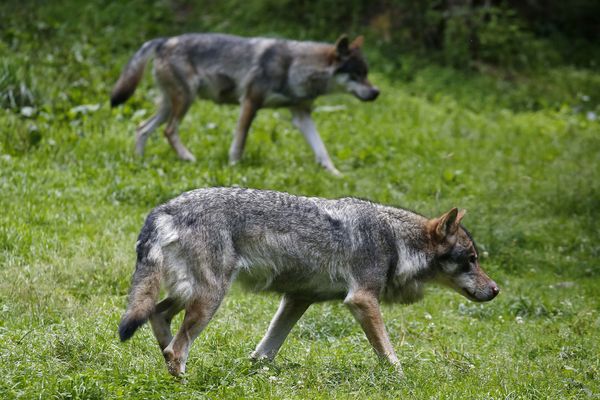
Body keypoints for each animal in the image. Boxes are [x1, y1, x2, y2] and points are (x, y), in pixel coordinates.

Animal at [110, 32, 378, 173]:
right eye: (357, 75)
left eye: (367, 73)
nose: (376, 92)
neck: (296, 66)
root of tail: (164, 40)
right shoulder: (249, 102)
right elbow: (239, 141)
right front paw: (234, 167)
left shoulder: (302, 116)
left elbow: (321, 149)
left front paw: (336, 174)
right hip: (185, 100)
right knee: (168, 130)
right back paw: (187, 158)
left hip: (170, 104)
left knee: (142, 128)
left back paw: (139, 161)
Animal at [117, 187, 496, 376]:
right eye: (471, 260)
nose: (496, 290)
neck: (394, 240)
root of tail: (163, 209)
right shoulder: (362, 300)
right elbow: (390, 355)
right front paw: (403, 380)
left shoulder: (297, 300)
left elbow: (266, 351)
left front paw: (256, 373)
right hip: (210, 298)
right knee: (177, 346)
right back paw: (182, 378)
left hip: (189, 295)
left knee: (159, 319)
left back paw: (168, 362)